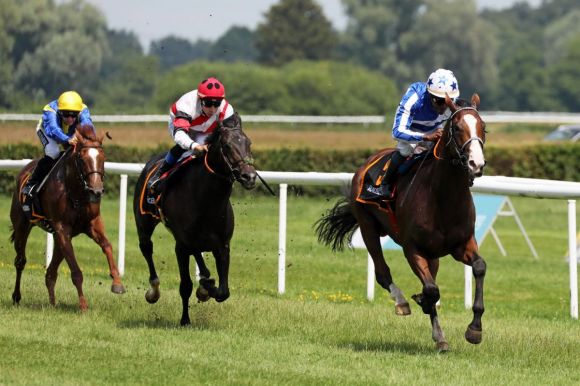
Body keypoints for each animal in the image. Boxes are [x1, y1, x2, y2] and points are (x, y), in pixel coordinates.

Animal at [10, 125, 125, 312]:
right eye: (82, 159)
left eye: (103, 158)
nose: (96, 191)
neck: (75, 191)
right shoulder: (62, 228)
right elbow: (76, 272)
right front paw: (83, 305)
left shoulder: (91, 223)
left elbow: (107, 246)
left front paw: (117, 283)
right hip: (23, 226)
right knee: (20, 261)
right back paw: (16, 296)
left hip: (57, 237)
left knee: (50, 272)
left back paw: (52, 303)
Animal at [135, 111, 258, 326]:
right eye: (227, 145)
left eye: (248, 143)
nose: (249, 176)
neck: (207, 201)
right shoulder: (182, 245)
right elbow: (188, 284)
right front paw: (186, 318)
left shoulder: (222, 246)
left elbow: (223, 292)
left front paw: (207, 289)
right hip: (144, 222)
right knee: (146, 248)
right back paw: (153, 291)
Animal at [314, 95, 488, 352]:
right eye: (456, 128)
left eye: (483, 127)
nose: (476, 164)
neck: (443, 197)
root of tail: (367, 162)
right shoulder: (412, 248)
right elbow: (431, 290)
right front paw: (423, 301)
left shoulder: (462, 244)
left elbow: (478, 267)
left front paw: (474, 329)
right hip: (368, 227)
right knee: (382, 272)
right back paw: (402, 301)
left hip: (433, 255)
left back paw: (438, 334)